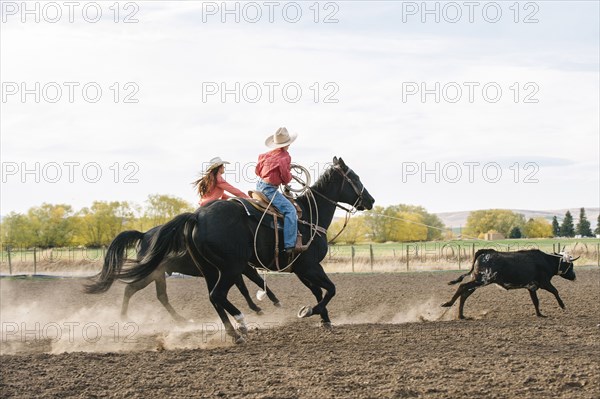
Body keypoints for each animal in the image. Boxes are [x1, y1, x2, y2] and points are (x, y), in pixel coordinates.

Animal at [85, 225, 280, 322]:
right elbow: (254, 281)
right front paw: (271, 303)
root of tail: (144, 235)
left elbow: (244, 288)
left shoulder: (234, 270)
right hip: (151, 274)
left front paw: (256, 307)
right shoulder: (239, 267)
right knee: (131, 289)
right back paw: (124, 317)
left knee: (160, 296)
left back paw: (180, 319)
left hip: (158, 275)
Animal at [440, 248, 576, 320]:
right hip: (481, 280)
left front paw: (539, 314)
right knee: (462, 287)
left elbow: (535, 301)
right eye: (571, 265)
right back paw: (448, 304)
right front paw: (562, 305)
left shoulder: (531, 287)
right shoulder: (544, 283)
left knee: (464, 294)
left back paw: (461, 315)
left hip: (478, 282)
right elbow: (555, 291)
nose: (574, 277)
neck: (545, 261)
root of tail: (484, 252)